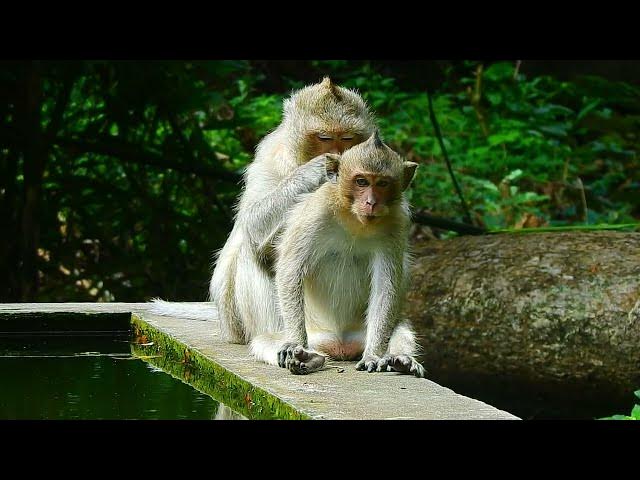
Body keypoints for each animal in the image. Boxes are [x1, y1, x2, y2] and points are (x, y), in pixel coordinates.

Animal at [249, 130, 426, 378]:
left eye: (382, 183)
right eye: (361, 181)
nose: (371, 202)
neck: (355, 220)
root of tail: (339, 345)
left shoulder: (397, 224)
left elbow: (385, 286)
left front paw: (374, 356)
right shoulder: (316, 210)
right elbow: (291, 269)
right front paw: (295, 344)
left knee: (401, 329)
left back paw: (401, 360)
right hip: (315, 337)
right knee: (263, 341)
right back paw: (307, 358)